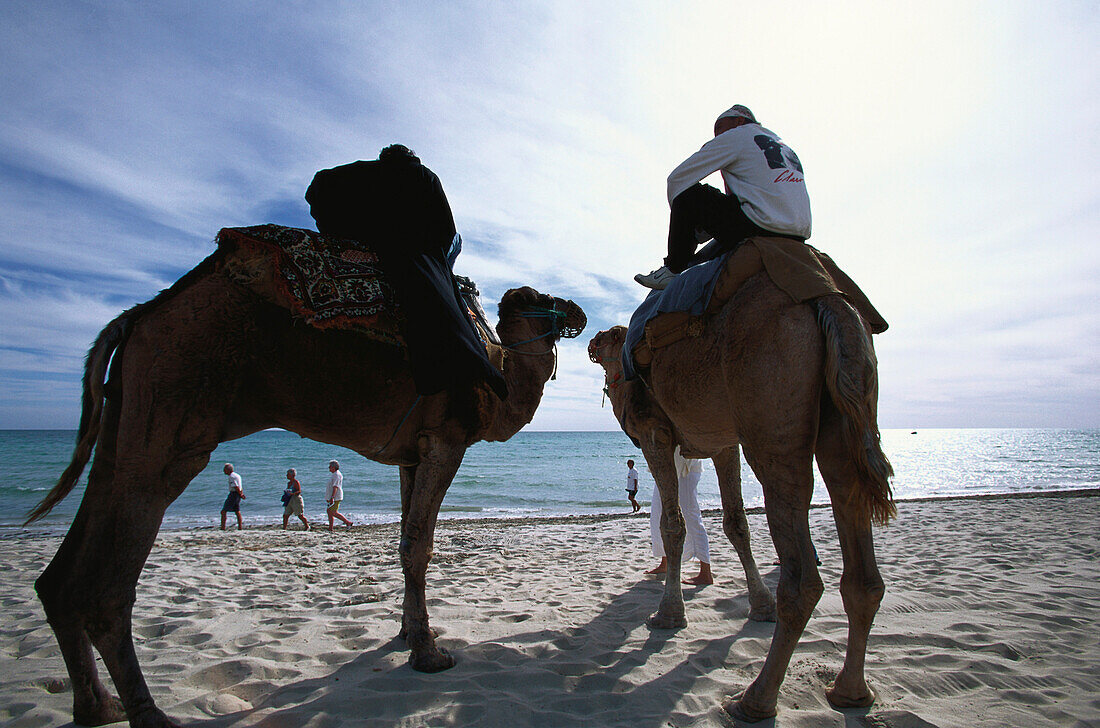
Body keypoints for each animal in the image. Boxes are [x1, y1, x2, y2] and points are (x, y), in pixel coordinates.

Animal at [23, 256, 585, 728]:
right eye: (537, 295)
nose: (578, 311)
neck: (498, 372)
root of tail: (137, 318)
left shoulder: (412, 453)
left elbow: (405, 542)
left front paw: (406, 634)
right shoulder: (446, 440)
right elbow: (419, 547)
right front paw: (428, 654)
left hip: (125, 419)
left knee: (62, 575)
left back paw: (98, 707)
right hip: (174, 408)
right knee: (107, 584)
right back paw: (150, 715)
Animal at [585, 274, 893, 725]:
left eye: (608, 336)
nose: (590, 342)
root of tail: (826, 300)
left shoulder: (655, 433)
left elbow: (673, 524)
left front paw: (668, 614)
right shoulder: (723, 441)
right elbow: (736, 522)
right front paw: (759, 606)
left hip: (772, 422)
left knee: (802, 575)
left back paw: (756, 698)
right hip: (842, 420)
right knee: (858, 551)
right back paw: (850, 691)